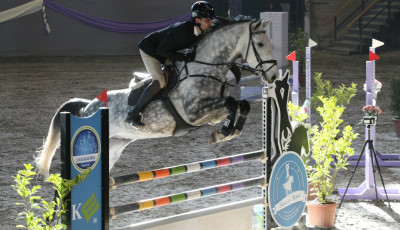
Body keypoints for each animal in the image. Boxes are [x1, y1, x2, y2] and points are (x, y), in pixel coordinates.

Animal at [36, 18, 278, 176]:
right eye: (260, 44)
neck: (205, 68)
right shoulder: (194, 112)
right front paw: (225, 133)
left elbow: (240, 104)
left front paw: (226, 133)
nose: (274, 76)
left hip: (113, 147)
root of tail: (87, 107)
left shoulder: (210, 114)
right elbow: (231, 103)